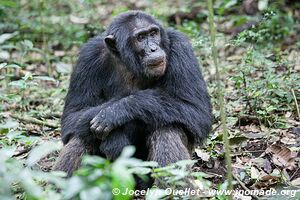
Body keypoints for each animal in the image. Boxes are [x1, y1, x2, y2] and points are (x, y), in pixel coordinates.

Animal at [54, 10, 213, 183]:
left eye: (153, 33)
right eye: (140, 37)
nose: (153, 48)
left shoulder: (181, 48)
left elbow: (196, 110)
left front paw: (115, 111)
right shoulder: (88, 57)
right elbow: (73, 115)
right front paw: (114, 137)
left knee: (167, 129)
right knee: (80, 136)